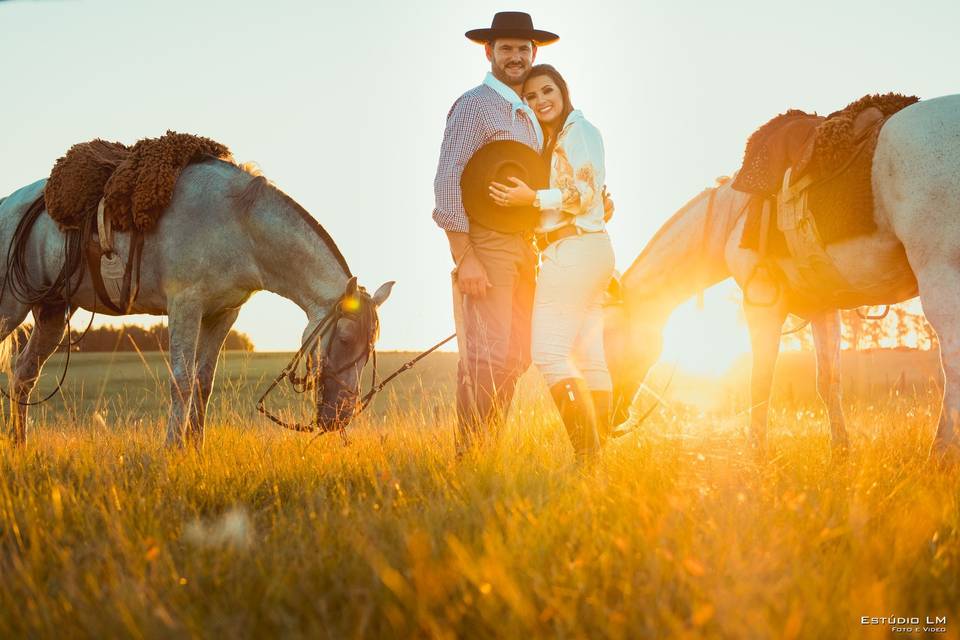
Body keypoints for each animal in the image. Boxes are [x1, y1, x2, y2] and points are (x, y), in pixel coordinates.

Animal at [0, 159, 394, 450]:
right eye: (344, 339)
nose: (341, 416)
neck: (238, 224)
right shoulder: (185, 305)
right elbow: (182, 381)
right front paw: (173, 448)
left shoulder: (222, 314)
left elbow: (204, 383)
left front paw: (195, 447)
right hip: (12, 307)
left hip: (52, 313)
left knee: (23, 374)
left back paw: (20, 445)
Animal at [608, 92, 960, 458]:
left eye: (603, 338)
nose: (612, 420)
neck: (731, 218)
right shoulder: (823, 306)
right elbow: (828, 382)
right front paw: (840, 451)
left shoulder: (761, 303)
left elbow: (760, 381)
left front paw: (756, 453)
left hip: (941, 276)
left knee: (952, 362)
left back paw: (941, 453)